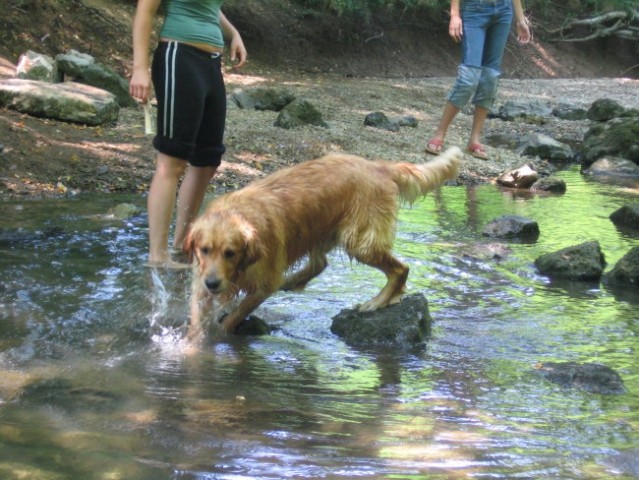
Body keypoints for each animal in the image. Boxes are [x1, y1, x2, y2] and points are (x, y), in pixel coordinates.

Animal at [182, 146, 462, 342]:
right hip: (321, 229)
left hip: (360, 241)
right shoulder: (202, 281)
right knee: (320, 263)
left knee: (401, 268)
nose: (213, 283)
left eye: (230, 253)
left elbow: (236, 315)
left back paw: (378, 301)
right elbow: (199, 313)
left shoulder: (264, 282)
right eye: (205, 250)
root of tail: (379, 166)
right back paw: (292, 281)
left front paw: (218, 335)